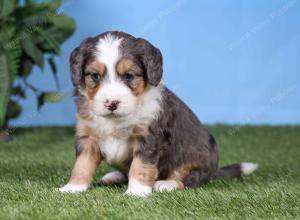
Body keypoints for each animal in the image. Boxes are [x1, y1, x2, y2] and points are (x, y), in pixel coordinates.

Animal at [56, 31, 258, 198]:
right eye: (95, 76)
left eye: (129, 75)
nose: (111, 103)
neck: (116, 120)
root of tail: (214, 170)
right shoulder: (87, 137)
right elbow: (81, 165)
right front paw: (72, 188)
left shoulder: (149, 137)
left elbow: (140, 166)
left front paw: (136, 192)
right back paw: (113, 176)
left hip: (195, 160)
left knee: (187, 179)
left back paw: (165, 184)